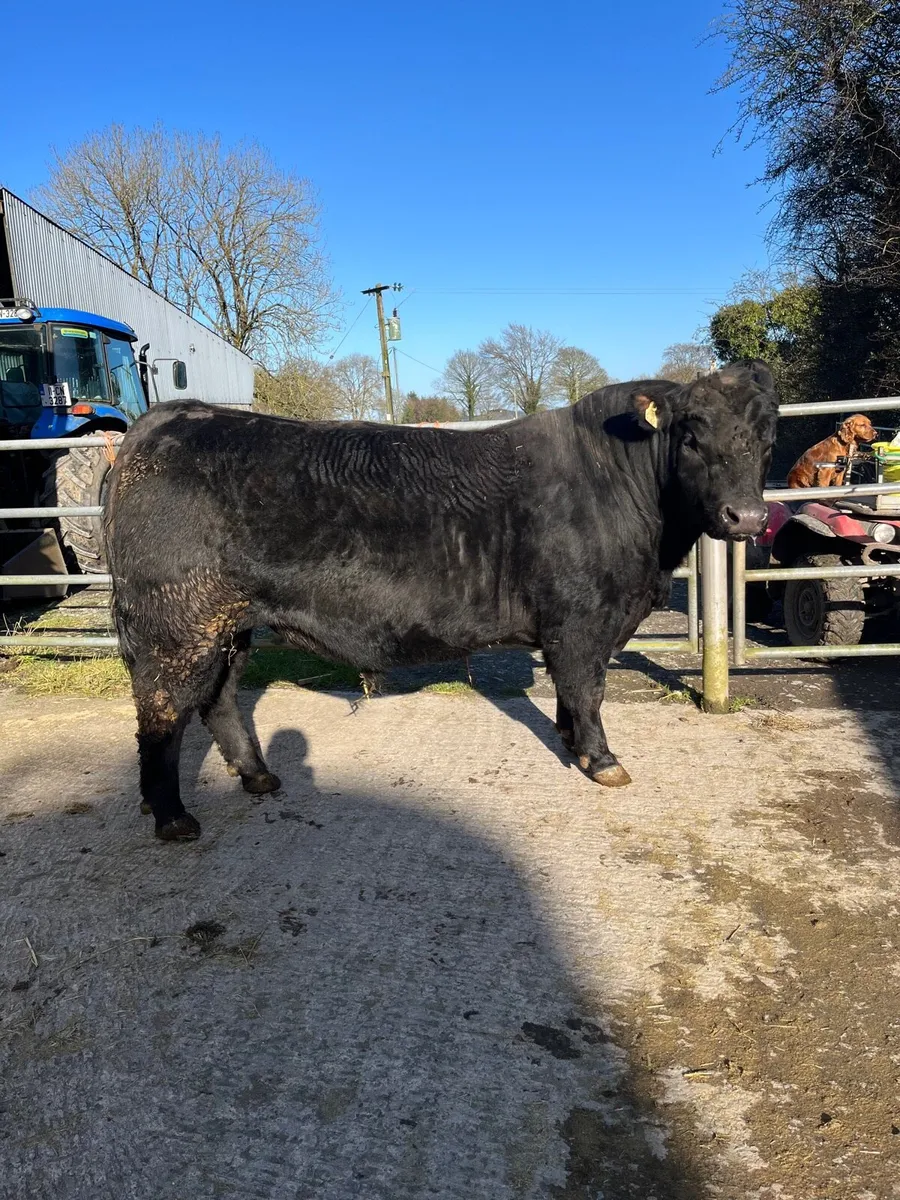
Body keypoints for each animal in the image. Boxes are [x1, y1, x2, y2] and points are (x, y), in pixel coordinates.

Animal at [105, 360, 778, 842]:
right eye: (691, 436)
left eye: (767, 438)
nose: (745, 517)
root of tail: (171, 416)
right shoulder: (582, 619)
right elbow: (586, 689)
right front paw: (600, 758)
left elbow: (569, 692)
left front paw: (569, 743)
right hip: (177, 623)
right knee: (161, 712)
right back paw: (172, 818)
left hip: (230, 623)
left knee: (219, 699)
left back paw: (258, 776)